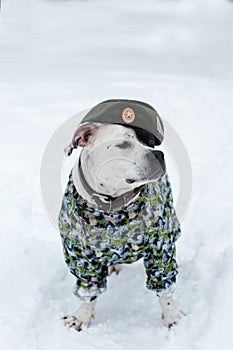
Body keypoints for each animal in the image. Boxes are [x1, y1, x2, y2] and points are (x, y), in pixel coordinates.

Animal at [58, 99, 184, 330]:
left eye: (150, 142)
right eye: (123, 144)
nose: (159, 154)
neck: (112, 208)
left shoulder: (159, 248)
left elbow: (164, 287)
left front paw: (172, 316)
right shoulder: (79, 255)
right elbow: (89, 288)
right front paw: (82, 316)